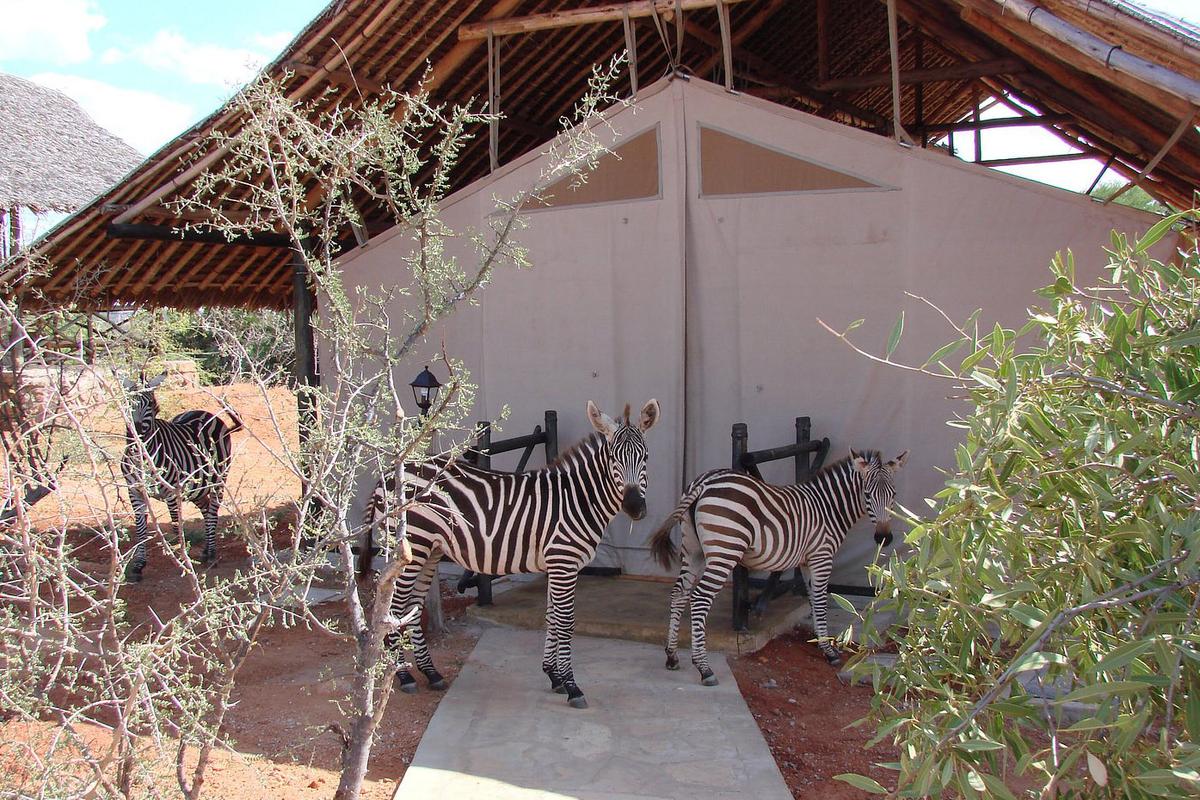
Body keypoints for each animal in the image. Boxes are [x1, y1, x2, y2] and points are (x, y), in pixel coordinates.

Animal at [121, 376, 243, 582]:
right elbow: (140, 527)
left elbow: (176, 526)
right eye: (128, 403)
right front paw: (138, 566)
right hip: (196, 487)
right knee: (206, 508)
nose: (135, 437)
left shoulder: (172, 492)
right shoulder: (134, 490)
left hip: (218, 479)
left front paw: (182, 561)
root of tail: (206, 413)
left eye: (152, 405)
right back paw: (206, 551)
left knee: (212, 511)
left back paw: (211, 554)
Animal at [364, 398, 662, 705]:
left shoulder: (556, 565)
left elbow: (551, 617)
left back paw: (431, 673)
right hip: (413, 546)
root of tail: (391, 472)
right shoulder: (564, 562)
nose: (635, 507)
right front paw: (572, 686)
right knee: (394, 609)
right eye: (613, 459)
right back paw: (404, 676)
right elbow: (565, 622)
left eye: (645, 457)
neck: (579, 499)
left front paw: (554, 676)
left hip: (430, 550)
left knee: (411, 607)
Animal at [652, 448, 902, 686]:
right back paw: (704, 669)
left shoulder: (806, 561)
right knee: (699, 598)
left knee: (679, 594)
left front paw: (819, 642)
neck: (827, 508)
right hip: (725, 550)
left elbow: (813, 599)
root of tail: (704, 482)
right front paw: (829, 652)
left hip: (693, 550)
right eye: (867, 494)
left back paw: (672, 656)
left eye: (893, 495)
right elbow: (821, 601)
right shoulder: (822, 555)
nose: (884, 538)